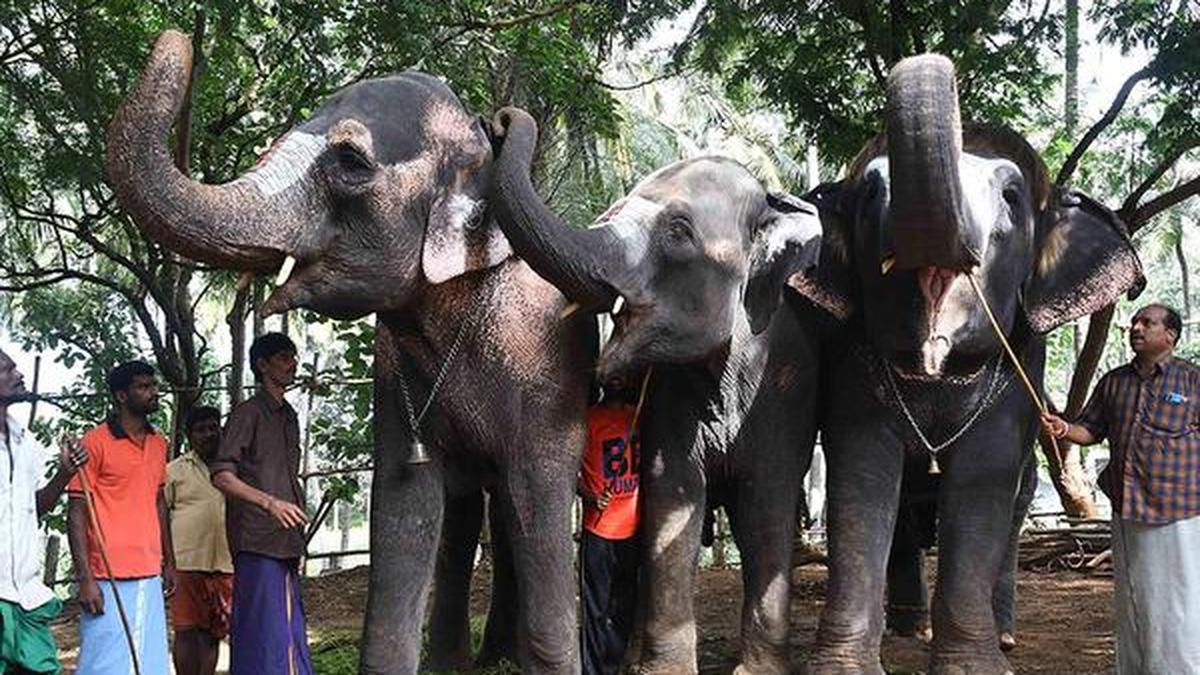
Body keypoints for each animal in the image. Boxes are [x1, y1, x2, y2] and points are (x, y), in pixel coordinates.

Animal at [488, 106, 827, 674]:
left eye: (678, 231)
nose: (500, 121)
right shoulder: (671, 398)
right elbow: (673, 497)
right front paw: (666, 669)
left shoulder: (785, 390)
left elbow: (767, 503)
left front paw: (757, 671)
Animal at [791, 54, 1142, 674]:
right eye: (869, 192)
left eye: (1012, 196)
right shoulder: (850, 358)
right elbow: (861, 471)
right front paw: (842, 667)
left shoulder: (1020, 364)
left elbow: (984, 477)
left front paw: (973, 665)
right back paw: (908, 627)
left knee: (1012, 515)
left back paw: (1001, 636)